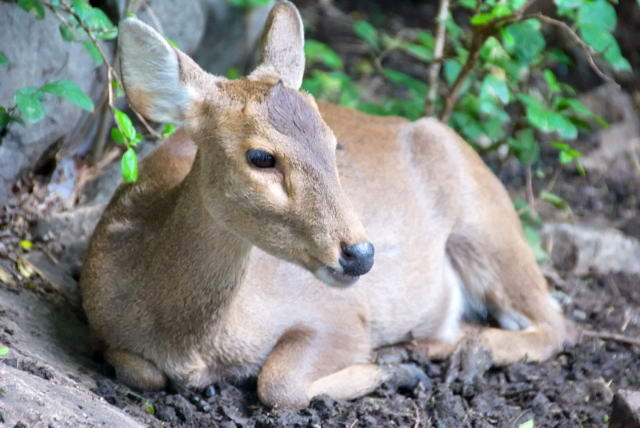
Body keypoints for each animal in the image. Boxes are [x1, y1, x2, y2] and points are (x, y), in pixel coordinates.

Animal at [80, 0, 576, 408]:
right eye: (261, 157)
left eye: (332, 143)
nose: (360, 254)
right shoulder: (105, 327)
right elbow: (140, 371)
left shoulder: (339, 317)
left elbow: (278, 384)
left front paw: (388, 372)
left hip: (486, 223)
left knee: (554, 322)